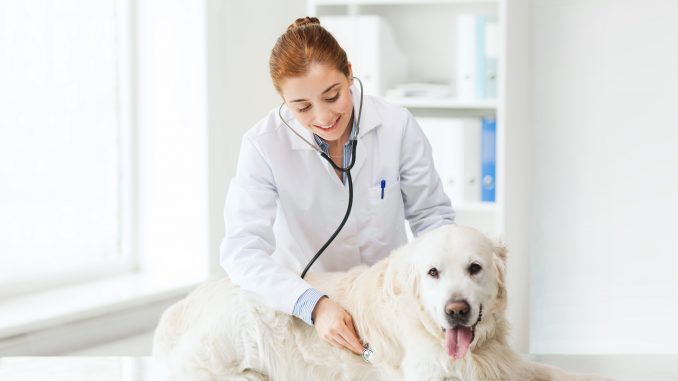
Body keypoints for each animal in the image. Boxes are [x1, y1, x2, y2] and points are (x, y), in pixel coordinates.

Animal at [155, 224, 616, 378]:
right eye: (433, 273)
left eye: (475, 268)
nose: (456, 311)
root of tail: (180, 306)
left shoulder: (507, 362)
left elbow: (557, 371)